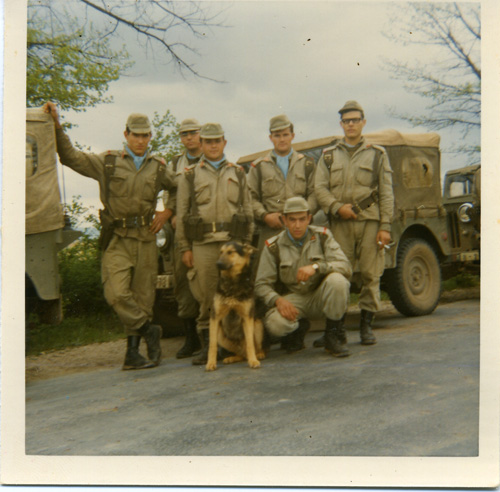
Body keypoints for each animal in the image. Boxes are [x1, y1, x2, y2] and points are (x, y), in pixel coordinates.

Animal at [206, 241, 265, 371]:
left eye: (230, 252)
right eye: (221, 252)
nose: (217, 264)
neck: (232, 283)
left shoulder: (247, 317)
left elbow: (250, 343)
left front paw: (253, 361)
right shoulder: (215, 317)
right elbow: (212, 345)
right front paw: (211, 363)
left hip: (257, 325)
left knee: (256, 347)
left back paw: (258, 355)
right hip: (221, 336)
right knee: (241, 355)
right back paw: (232, 358)